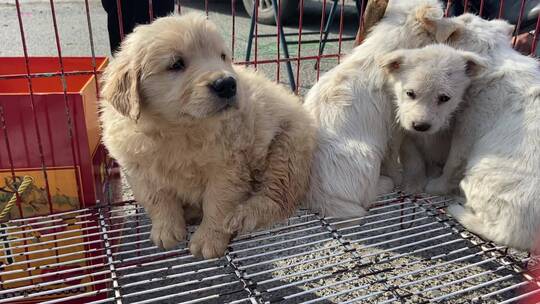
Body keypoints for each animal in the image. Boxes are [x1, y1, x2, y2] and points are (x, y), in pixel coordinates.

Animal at [99, 13, 316, 258]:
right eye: (176, 64)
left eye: (222, 56)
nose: (227, 84)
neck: (178, 129)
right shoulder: (140, 169)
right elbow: (158, 200)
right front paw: (166, 230)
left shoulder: (227, 169)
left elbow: (218, 205)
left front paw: (208, 240)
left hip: (286, 150)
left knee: (280, 197)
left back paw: (244, 215)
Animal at [302, 0, 450, 218]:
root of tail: (318, 199)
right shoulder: (395, 129)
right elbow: (392, 157)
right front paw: (397, 177)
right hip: (369, 154)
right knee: (367, 194)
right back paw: (385, 183)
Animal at [380, 44, 490, 194]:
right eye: (410, 93)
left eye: (444, 98)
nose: (420, 126)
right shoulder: (407, 133)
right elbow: (413, 159)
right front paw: (413, 184)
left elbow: (453, 162)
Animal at [422, 13, 540, 251]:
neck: (491, 57)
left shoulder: (467, 131)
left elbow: (451, 165)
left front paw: (437, 186)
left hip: (480, 174)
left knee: (497, 230)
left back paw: (459, 209)